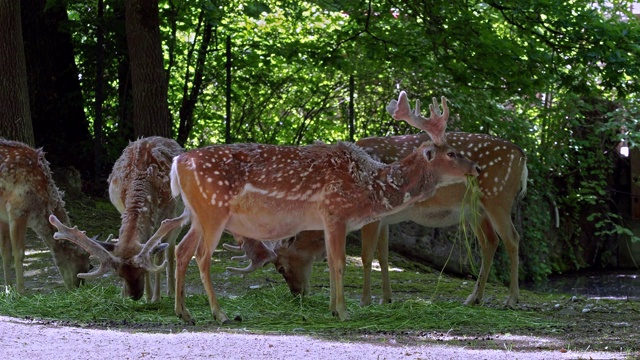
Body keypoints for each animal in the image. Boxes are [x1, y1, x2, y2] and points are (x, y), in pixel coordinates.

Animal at [0, 138, 91, 292]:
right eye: (89, 266)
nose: (77, 288)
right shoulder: (18, 209)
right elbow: (19, 254)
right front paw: (21, 292)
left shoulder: (3, 216)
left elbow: (5, 252)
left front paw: (8, 290)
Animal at [48, 136, 184, 302]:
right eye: (120, 275)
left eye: (141, 271)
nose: (134, 296)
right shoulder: (122, 208)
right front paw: (143, 295)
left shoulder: (168, 214)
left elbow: (158, 257)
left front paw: (156, 297)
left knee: (171, 248)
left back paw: (171, 291)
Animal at [139, 97, 480, 324]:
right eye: (451, 153)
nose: (476, 168)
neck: (368, 187)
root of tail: (177, 162)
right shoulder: (335, 212)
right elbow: (339, 263)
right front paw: (343, 311)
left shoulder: (327, 221)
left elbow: (328, 263)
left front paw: (332, 307)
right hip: (213, 211)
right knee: (201, 256)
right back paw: (220, 313)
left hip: (197, 214)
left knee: (182, 251)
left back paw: (184, 312)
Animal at [229, 92, 524, 310]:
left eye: (280, 267)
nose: (297, 293)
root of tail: (522, 156)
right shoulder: (385, 218)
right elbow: (383, 255)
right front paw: (386, 298)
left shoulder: (372, 216)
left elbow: (366, 254)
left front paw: (364, 300)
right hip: (474, 210)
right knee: (490, 242)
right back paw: (474, 298)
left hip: (498, 196)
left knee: (511, 239)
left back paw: (511, 300)